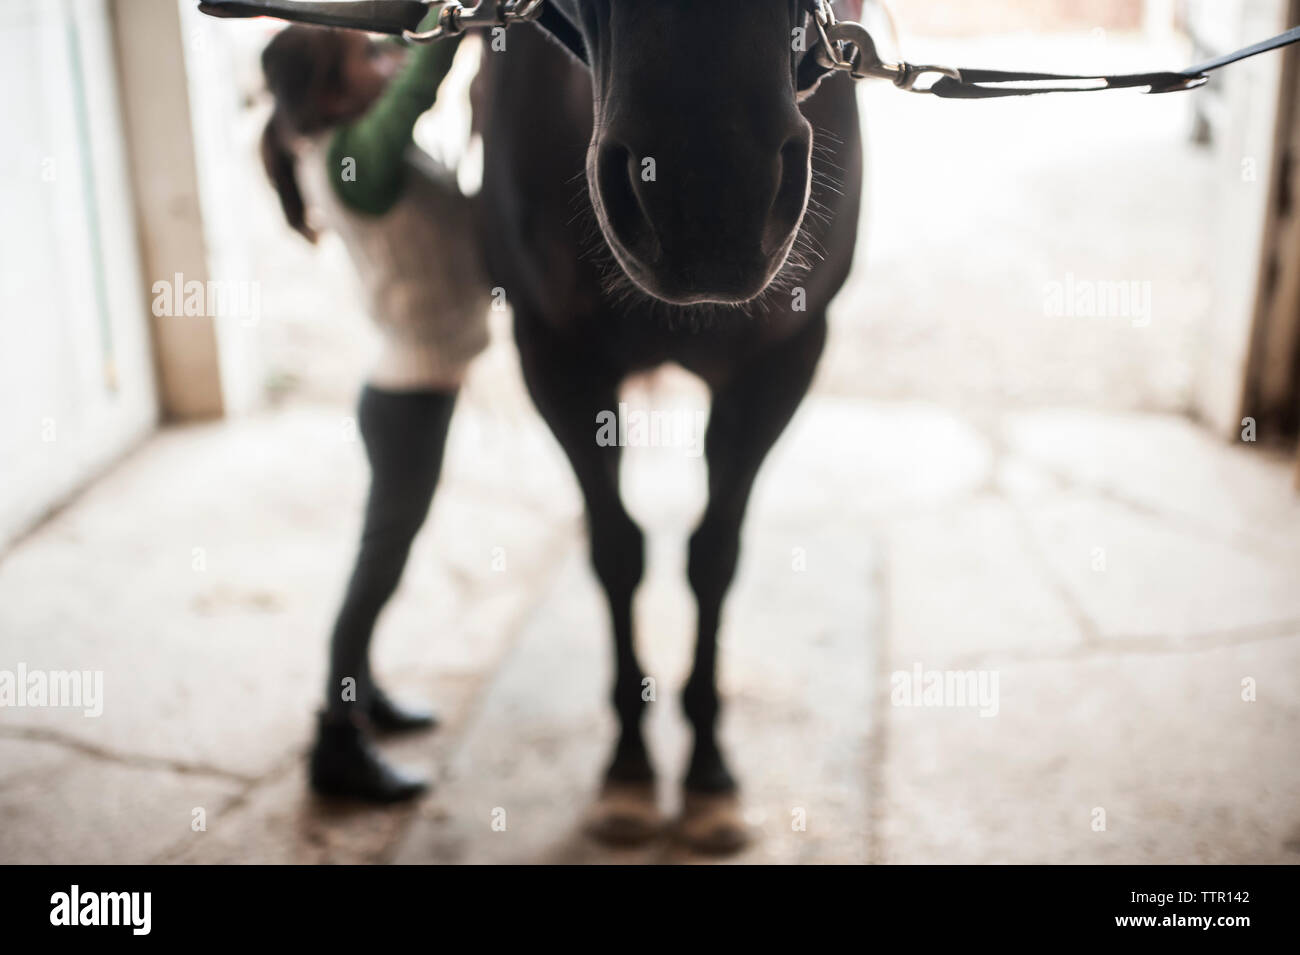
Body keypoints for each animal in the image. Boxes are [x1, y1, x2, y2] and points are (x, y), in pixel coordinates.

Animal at [473, 0, 863, 851]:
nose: (708, 195)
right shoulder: (555, 357)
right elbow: (617, 551)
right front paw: (627, 767)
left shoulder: (780, 363)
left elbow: (713, 556)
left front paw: (710, 771)